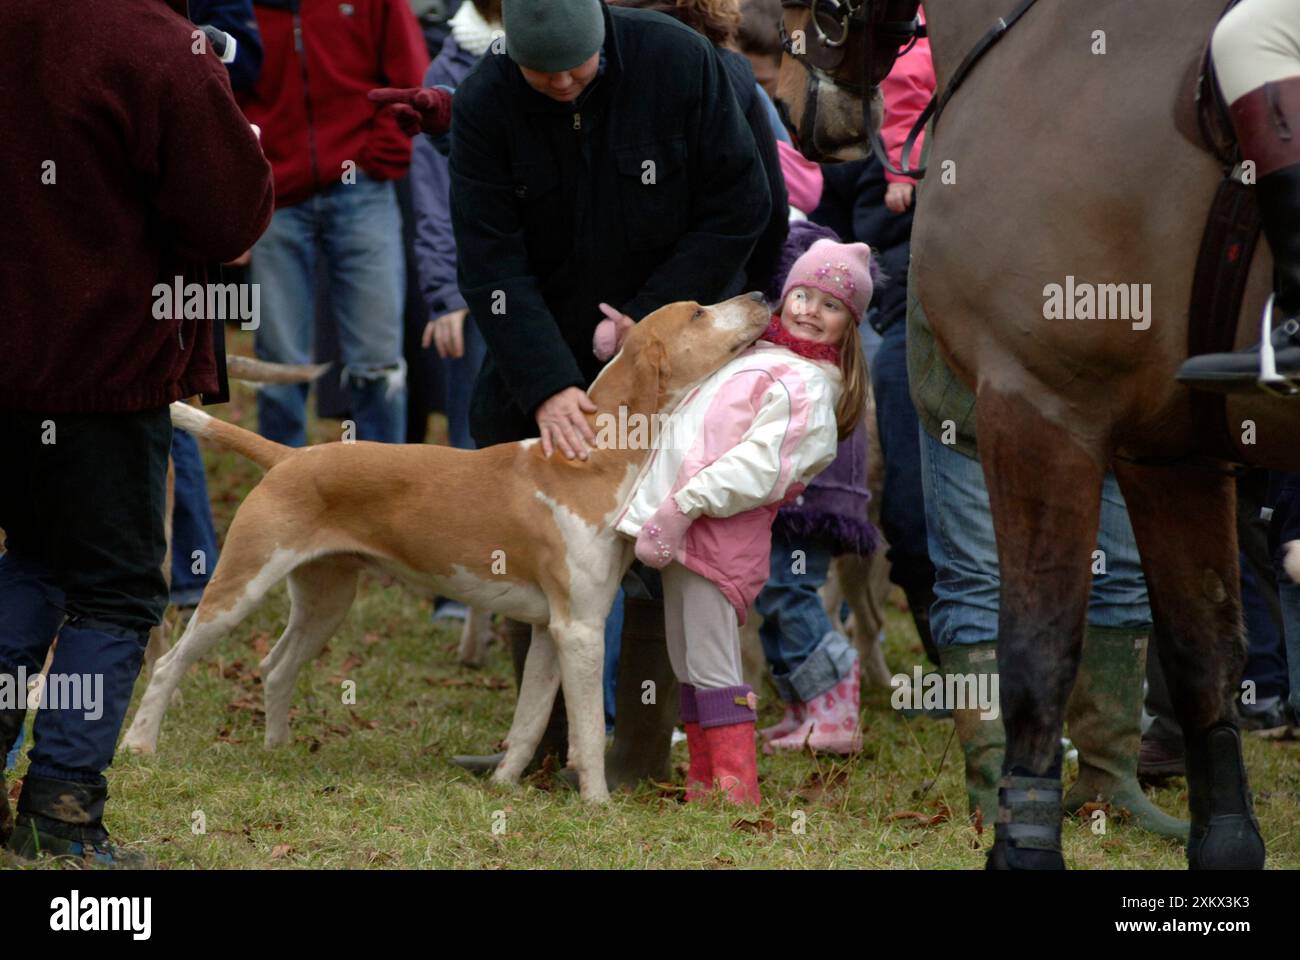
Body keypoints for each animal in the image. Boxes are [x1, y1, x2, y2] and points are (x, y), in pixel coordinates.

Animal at [124, 297, 769, 801]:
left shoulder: (549, 632)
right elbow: (586, 729)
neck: (592, 458)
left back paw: (276, 751)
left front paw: (504, 787)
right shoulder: (580, 629)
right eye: (699, 312)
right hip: (238, 587)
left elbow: (530, 720)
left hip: (325, 601)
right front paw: (598, 805)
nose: (761, 293)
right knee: (170, 662)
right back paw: (140, 744)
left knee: (275, 666)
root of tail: (290, 456)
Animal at [774, 0, 1294, 868]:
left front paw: (1023, 844)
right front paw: (1224, 844)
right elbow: (1203, 651)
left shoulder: (1039, 408)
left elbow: (1036, 654)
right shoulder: (1170, 453)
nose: (806, 115)